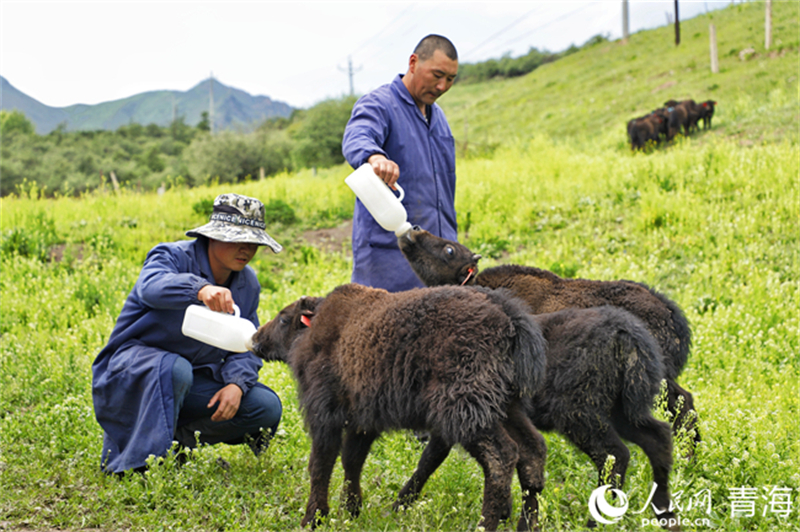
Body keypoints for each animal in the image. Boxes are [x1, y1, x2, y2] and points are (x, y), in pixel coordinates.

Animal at [252, 284, 552, 532]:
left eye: (283, 318)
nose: (256, 340)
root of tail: (508, 317)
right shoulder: (363, 421)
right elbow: (352, 461)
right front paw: (351, 510)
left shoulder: (325, 415)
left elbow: (321, 464)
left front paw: (313, 518)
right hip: (506, 408)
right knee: (532, 451)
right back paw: (527, 525)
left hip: (468, 413)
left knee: (501, 457)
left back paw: (484, 525)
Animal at [396, 304, 680, 528]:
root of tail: (626, 334)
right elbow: (431, 459)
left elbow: (431, 459)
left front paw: (398, 507)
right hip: (620, 407)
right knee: (658, 436)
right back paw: (665, 513)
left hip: (579, 410)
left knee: (615, 455)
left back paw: (595, 521)